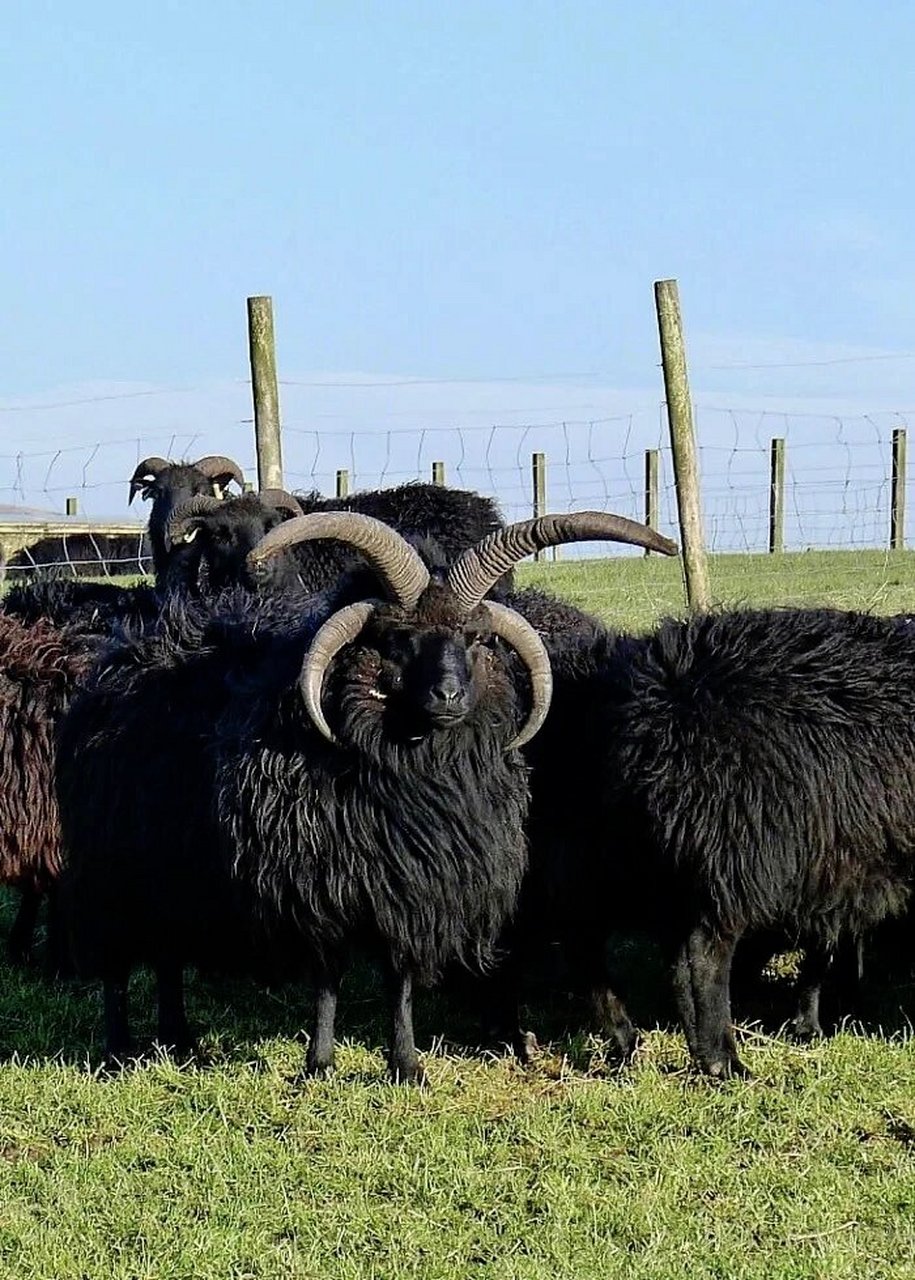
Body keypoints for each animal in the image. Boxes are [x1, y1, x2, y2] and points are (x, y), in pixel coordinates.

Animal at [57, 509, 674, 1078]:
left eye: (476, 639)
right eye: (399, 639)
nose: (450, 695)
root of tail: (117, 656)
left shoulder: (406, 884)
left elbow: (399, 982)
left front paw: (404, 1065)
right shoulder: (317, 881)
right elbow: (328, 978)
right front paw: (320, 1062)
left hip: (168, 874)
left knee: (166, 957)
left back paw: (179, 1040)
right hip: (112, 869)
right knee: (117, 965)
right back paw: (118, 1051)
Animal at [493, 604, 915, 1077]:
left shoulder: (840, 857)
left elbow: (825, 941)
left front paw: (812, 1021)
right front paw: (810, 1024)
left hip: (634, 856)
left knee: (619, 944)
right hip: (733, 842)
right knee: (702, 949)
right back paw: (722, 1059)